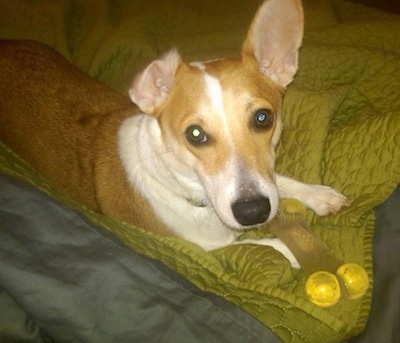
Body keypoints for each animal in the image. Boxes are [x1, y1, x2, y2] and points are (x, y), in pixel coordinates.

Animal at [0, 0, 346, 268]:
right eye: (195, 134)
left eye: (263, 118)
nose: (253, 212)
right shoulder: (206, 250)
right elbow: (265, 246)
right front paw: (308, 252)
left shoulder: (264, 183)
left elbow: (279, 182)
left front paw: (318, 195)